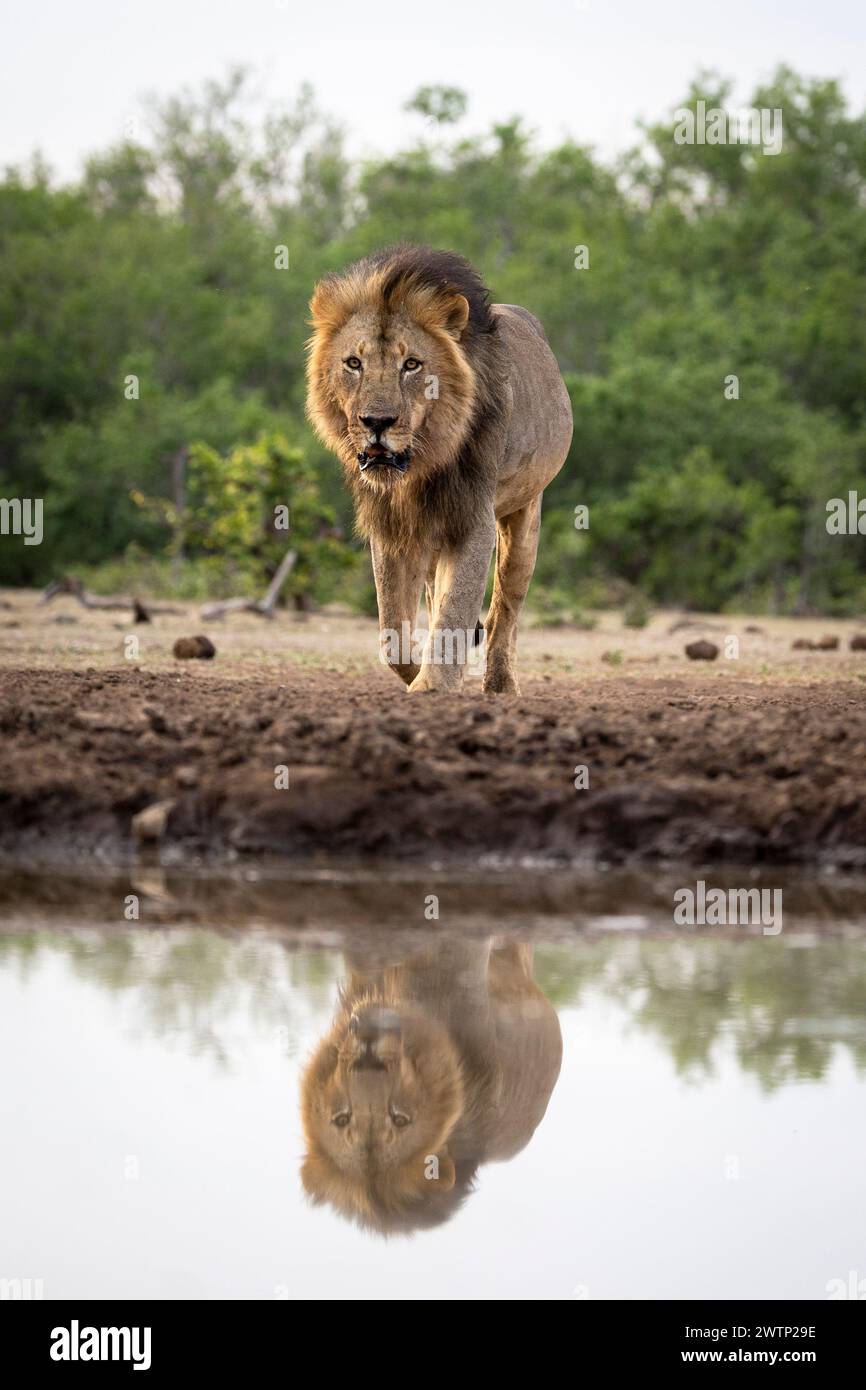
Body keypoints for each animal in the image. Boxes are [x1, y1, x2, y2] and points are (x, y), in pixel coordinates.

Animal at [307, 247, 575, 695]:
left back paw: (500, 684)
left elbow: (456, 609)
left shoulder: (472, 518)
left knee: (505, 610)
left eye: (412, 364)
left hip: (526, 513)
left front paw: (433, 687)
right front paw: (419, 674)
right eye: (354, 363)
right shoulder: (391, 524)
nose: (376, 421)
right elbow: (392, 633)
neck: (421, 465)